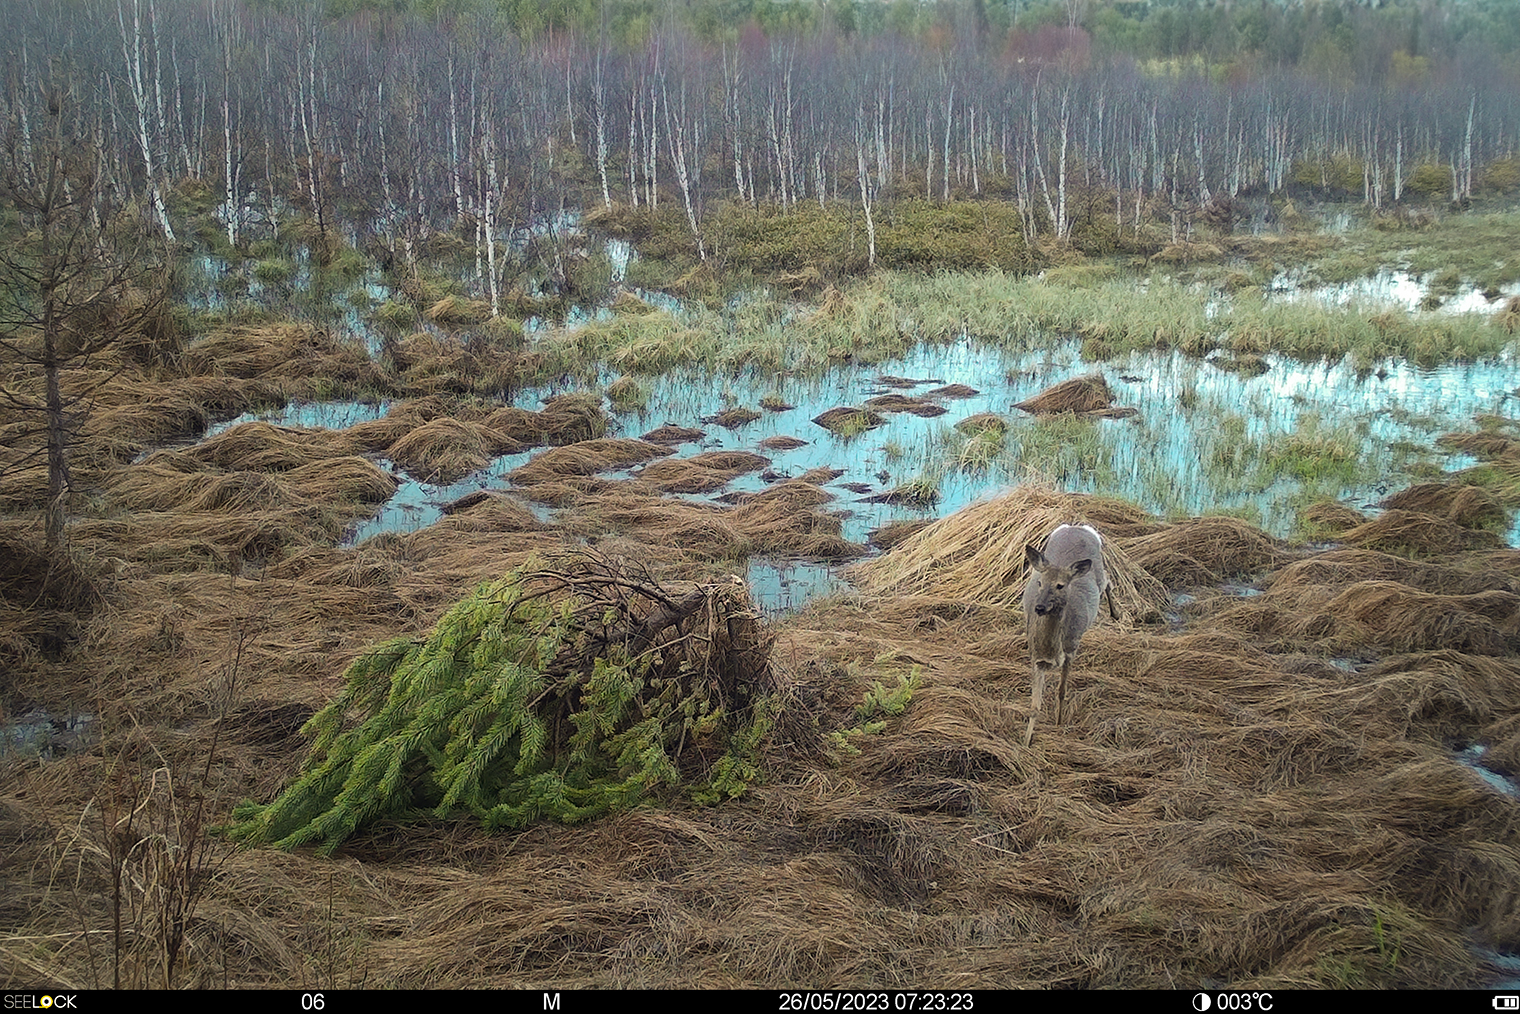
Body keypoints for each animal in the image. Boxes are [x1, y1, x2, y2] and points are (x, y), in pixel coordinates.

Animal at [1021, 522, 1118, 744]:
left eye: (1060, 585)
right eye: (1039, 583)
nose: (1039, 607)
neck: (1052, 649)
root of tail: (1078, 526)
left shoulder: (1071, 648)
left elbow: (1061, 691)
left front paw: (1059, 723)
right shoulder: (1035, 655)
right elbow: (1034, 706)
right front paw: (1026, 742)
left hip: (1098, 569)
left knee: (1108, 580)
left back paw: (1116, 614)